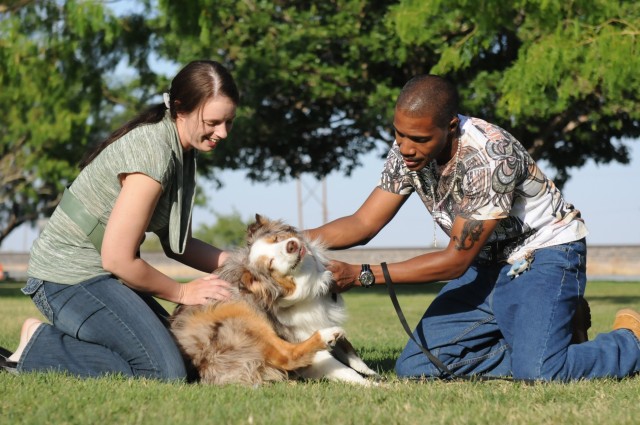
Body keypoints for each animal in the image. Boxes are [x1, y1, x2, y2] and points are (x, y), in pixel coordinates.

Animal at [171, 215, 380, 384]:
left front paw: (370, 372)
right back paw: (327, 335)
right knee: (287, 355)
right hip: (241, 312)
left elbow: (350, 351)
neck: (308, 280)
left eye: (277, 239)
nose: (291, 245)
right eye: (271, 264)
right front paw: (373, 386)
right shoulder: (299, 334)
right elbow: (343, 369)